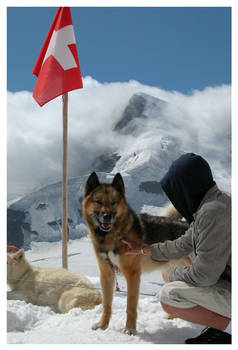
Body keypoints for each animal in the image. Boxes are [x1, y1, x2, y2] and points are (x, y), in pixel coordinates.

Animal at [82, 172, 189, 334]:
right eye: (99, 202)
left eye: (114, 202)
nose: (107, 216)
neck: (112, 236)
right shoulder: (106, 274)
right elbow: (107, 304)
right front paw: (102, 325)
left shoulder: (132, 274)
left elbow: (130, 306)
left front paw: (130, 329)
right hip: (169, 275)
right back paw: (171, 316)